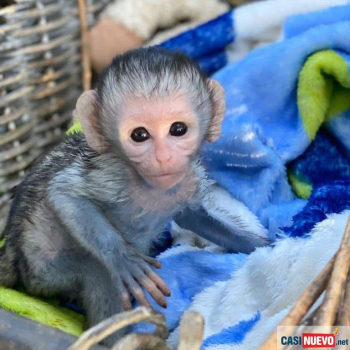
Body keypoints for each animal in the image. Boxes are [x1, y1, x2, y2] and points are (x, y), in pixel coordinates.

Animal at [0, 46, 268, 344]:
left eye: (178, 129)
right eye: (139, 135)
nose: (163, 157)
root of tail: (13, 251)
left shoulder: (186, 183)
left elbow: (195, 218)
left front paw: (262, 244)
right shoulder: (113, 174)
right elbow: (65, 193)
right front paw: (123, 259)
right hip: (43, 268)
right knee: (99, 274)